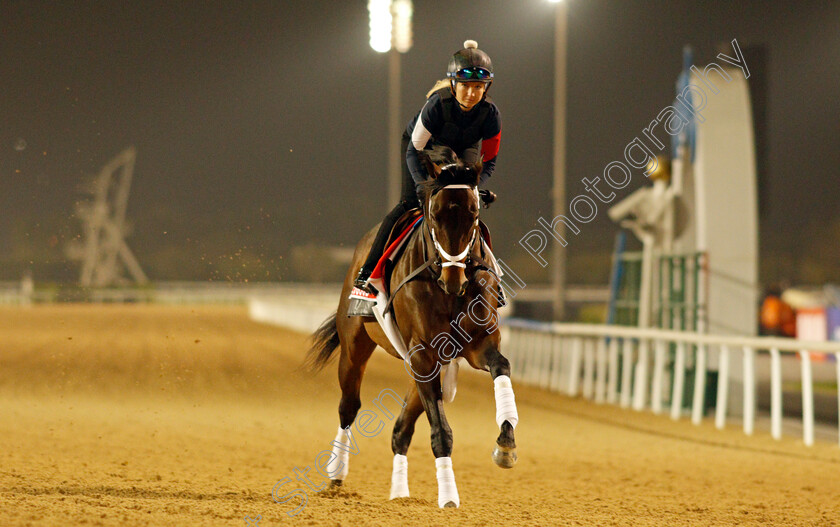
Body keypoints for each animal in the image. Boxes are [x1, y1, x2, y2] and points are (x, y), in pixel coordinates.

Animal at [308, 146, 520, 510]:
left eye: (474, 214)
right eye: (434, 214)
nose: (454, 279)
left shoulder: (476, 343)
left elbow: (501, 366)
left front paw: (505, 441)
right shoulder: (423, 354)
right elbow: (441, 432)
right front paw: (449, 496)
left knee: (400, 430)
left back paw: (399, 493)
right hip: (355, 347)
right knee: (348, 407)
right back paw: (336, 474)